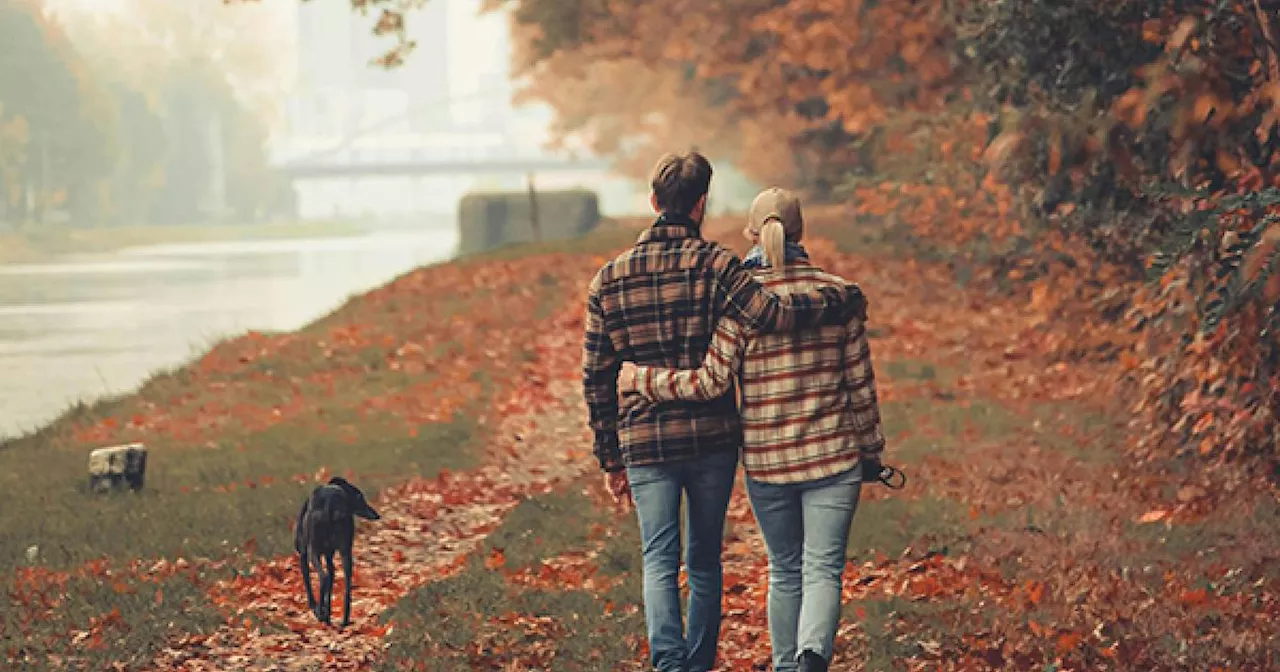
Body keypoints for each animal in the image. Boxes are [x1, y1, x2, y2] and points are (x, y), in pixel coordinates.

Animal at [294, 476, 378, 624]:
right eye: (359, 497)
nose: (377, 515)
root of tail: (331, 505)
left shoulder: (303, 554)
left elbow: (308, 582)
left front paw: (317, 609)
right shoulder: (330, 554)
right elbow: (332, 576)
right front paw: (328, 613)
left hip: (313, 551)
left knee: (323, 578)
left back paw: (320, 613)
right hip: (346, 552)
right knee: (346, 585)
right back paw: (344, 619)